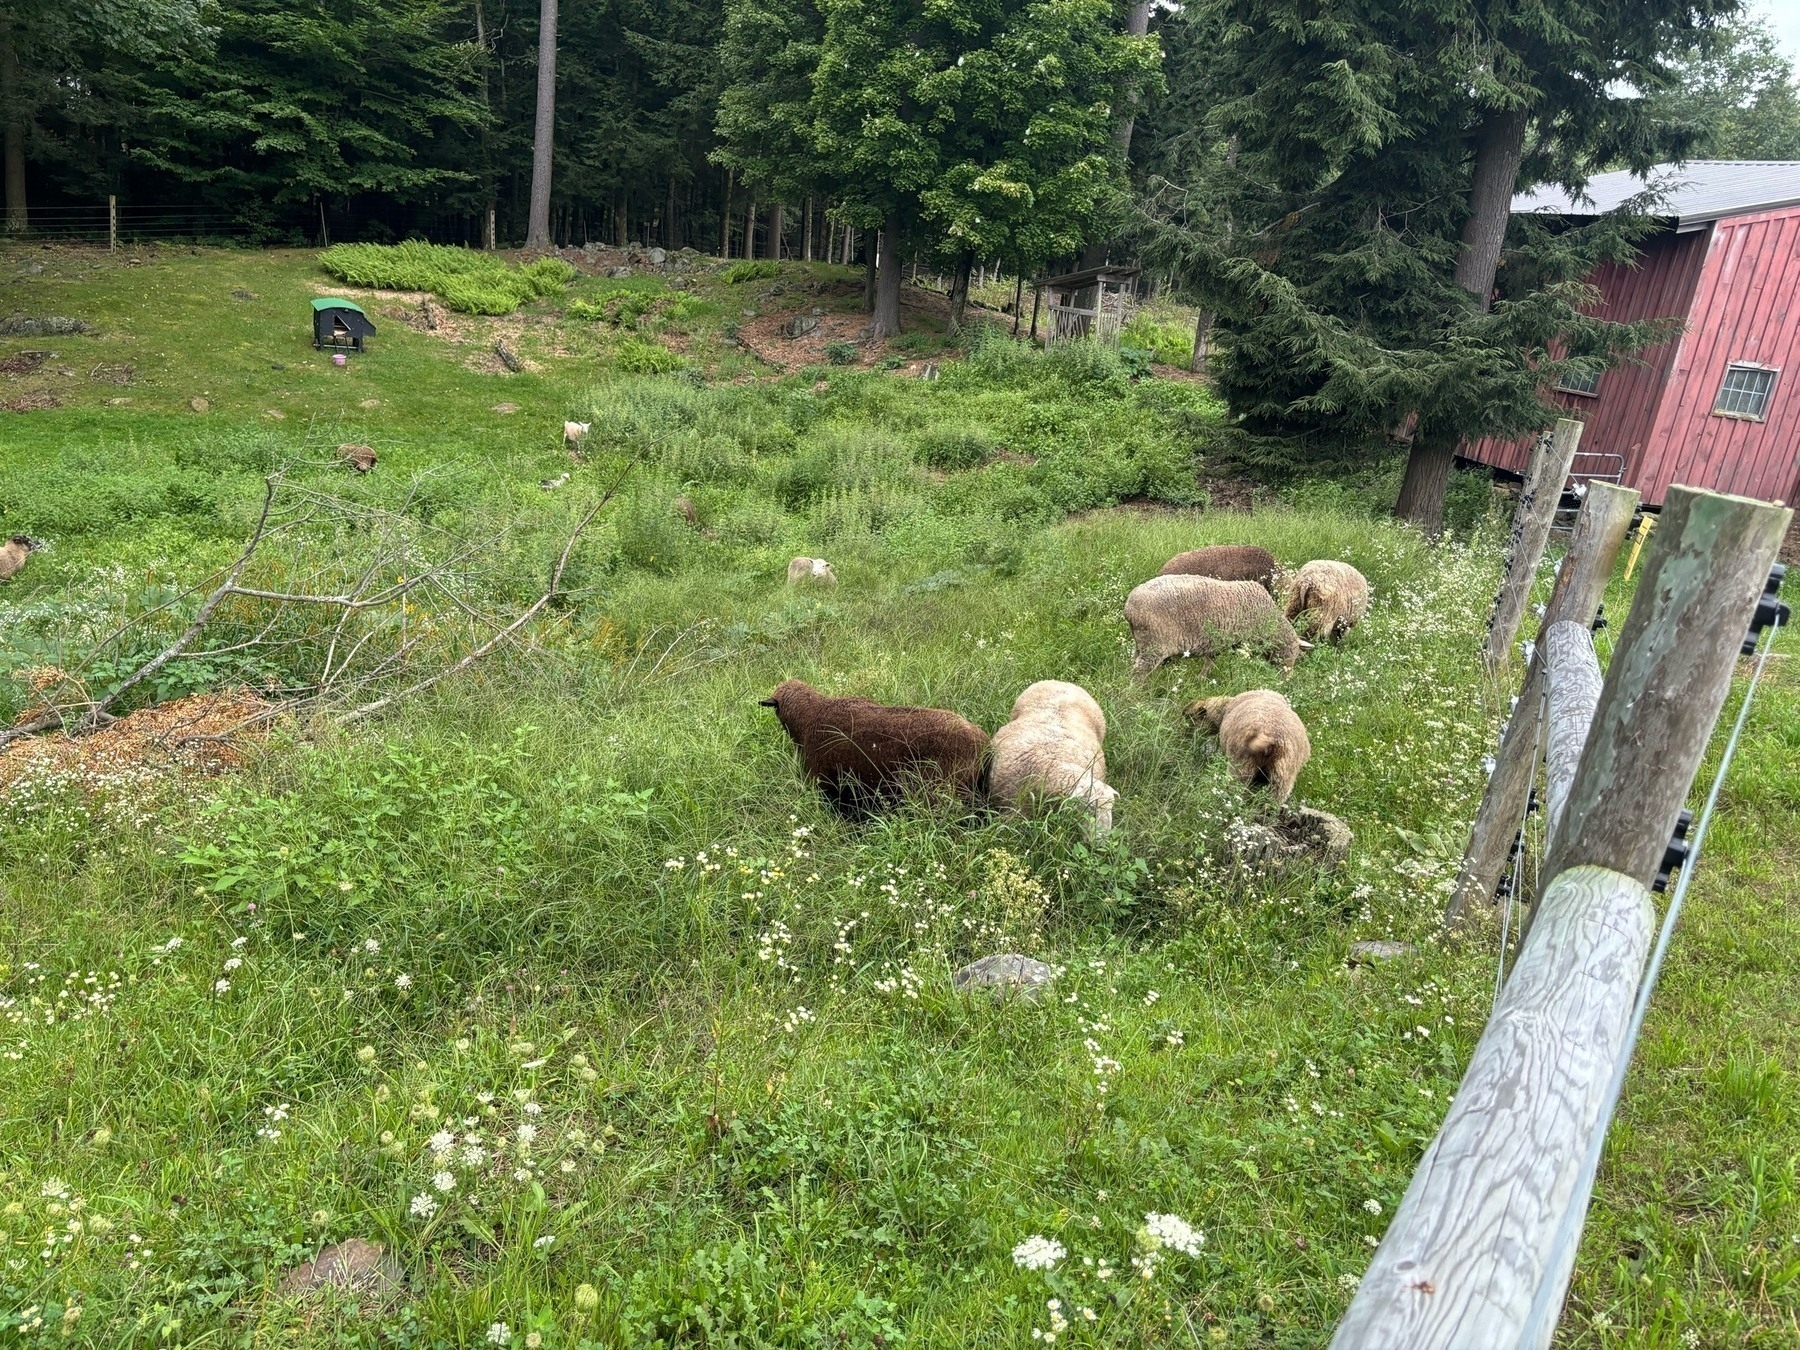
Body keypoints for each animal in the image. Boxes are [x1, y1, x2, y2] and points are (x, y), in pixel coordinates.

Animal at [1123, 572, 1310, 676]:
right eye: (1292, 653)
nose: (1286, 680)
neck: (1270, 621)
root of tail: (1129, 607)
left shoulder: (1218, 642)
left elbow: (1210, 660)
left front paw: (1202, 679)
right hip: (1155, 644)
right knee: (1139, 672)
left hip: (1141, 642)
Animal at [1188, 691, 1317, 810]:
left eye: (1190, 715)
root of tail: (1272, 738)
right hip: (1284, 771)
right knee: (1276, 795)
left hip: (1243, 762)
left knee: (1238, 785)